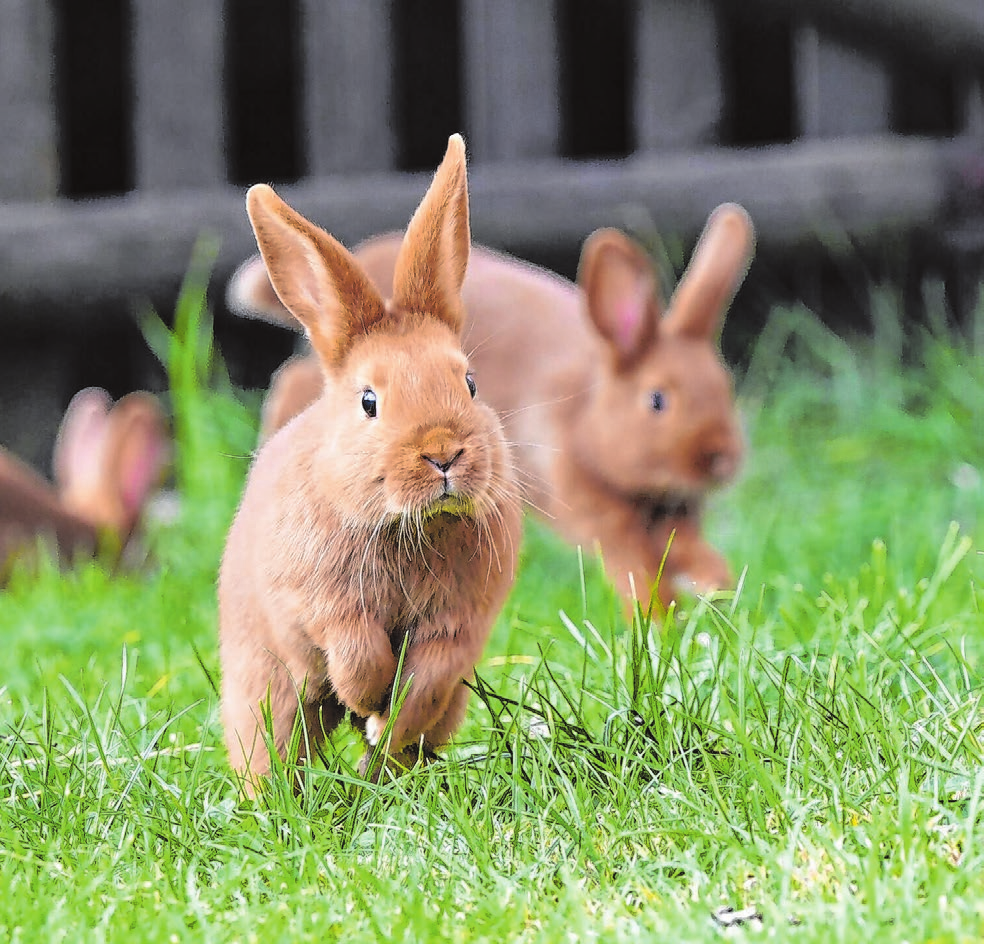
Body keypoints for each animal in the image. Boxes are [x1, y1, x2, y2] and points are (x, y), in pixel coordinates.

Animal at [216, 133, 524, 788]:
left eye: (470, 384)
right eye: (369, 402)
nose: (443, 452)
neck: (409, 524)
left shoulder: (456, 626)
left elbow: (425, 681)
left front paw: (384, 722)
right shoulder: (321, 606)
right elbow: (357, 652)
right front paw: (365, 700)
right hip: (262, 685)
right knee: (272, 741)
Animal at [229, 205, 752, 612]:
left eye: (724, 387)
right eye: (658, 400)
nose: (723, 459)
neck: (588, 416)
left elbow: (684, 549)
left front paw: (717, 584)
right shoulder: (597, 518)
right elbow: (638, 572)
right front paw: (661, 621)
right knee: (295, 381)